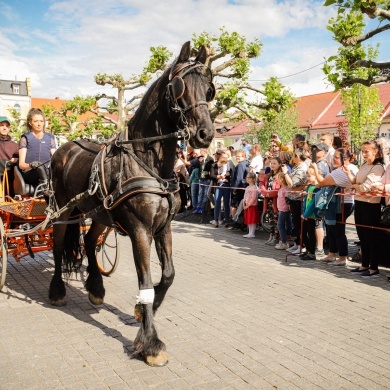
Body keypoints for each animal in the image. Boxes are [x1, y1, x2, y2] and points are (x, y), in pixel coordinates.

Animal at [48, 42, 215, 366]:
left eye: (209, 88)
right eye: (180, 87)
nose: (206, 134)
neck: (147, 163)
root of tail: (65, 148)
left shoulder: (163, 227)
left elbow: (168, 274)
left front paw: (141, 311)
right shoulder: (140, 230)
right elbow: (146, 281)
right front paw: (151, 344)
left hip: (99, 214)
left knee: (90, 241)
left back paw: (96, 288)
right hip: (64, 210)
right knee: (59, 245)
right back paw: (58, 290)